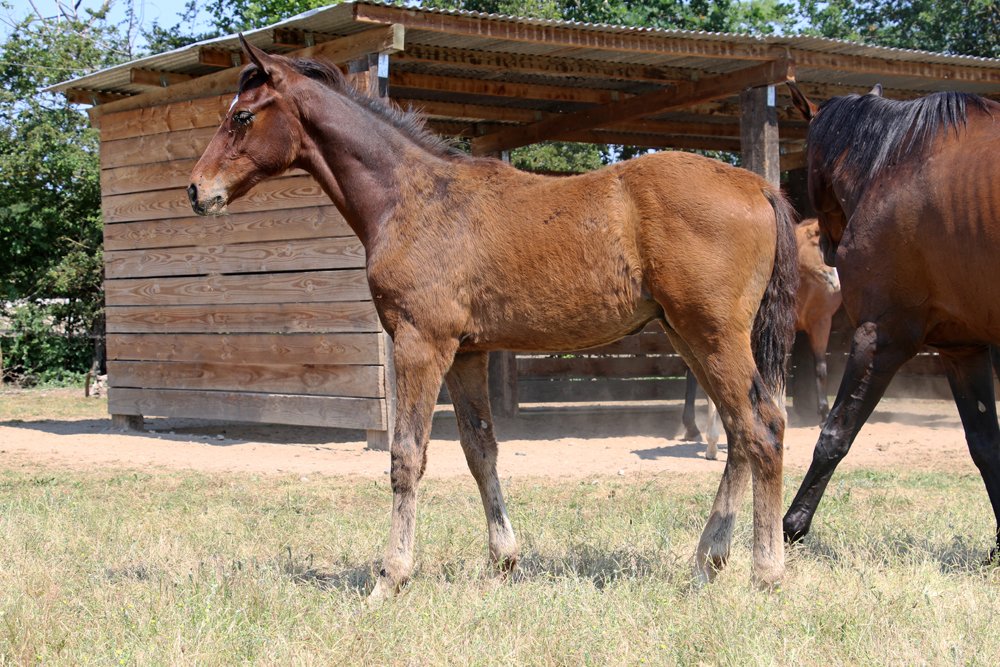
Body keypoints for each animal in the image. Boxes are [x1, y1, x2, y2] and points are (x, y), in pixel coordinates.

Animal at [187, 36, 798, 595]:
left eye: (242, 116)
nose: (197, 190)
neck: (412, 199)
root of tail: (759, 185)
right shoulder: (467, 353)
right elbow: (481, 450)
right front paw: (503, 560)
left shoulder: (420, 343)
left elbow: (406, 457)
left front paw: (391, 577)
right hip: (687, 334)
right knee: (738, 430)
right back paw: (708, 560)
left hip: (713, 333)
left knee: (763, 427)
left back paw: (765, 572)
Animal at [782, 80, 1000, 560]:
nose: (829, 250)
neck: (897, 161)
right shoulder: (963, 349)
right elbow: (985, 445)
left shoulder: (880, 337)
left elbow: (834, 434)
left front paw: (793, 526)